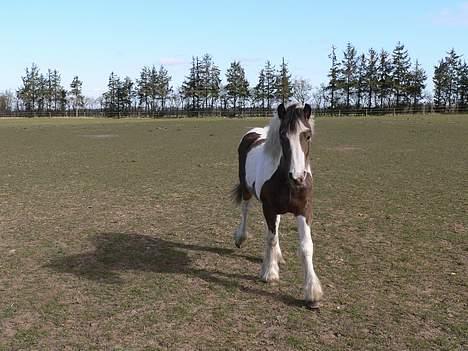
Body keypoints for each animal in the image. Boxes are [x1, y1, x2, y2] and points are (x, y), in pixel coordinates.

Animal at [232, 103, 324, 310]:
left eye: (307, 135)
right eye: (283, 135)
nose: (297, 177)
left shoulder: (304, 211)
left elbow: (306, 246)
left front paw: (312, 293)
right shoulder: (269, 208)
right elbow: (271, 239)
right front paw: (270, 273)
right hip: (247, 190)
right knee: (245, 210)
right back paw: (241, 238)